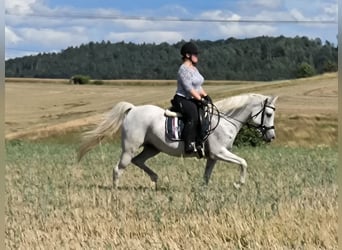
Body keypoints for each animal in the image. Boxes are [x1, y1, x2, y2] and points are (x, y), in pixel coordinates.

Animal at [77, 93, 278, 188]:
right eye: (268, 114)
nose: (271, 137)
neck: (225, 120)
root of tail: (133, 109)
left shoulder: (213, 156)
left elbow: (207, 175)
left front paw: (203, 190)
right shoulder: (220, 152)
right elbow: (243, 162)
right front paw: (238, 184)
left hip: (152, 148)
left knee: (138, 161)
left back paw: (155, 179)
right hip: (129, 148)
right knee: (119, 168)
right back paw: (116, 191)